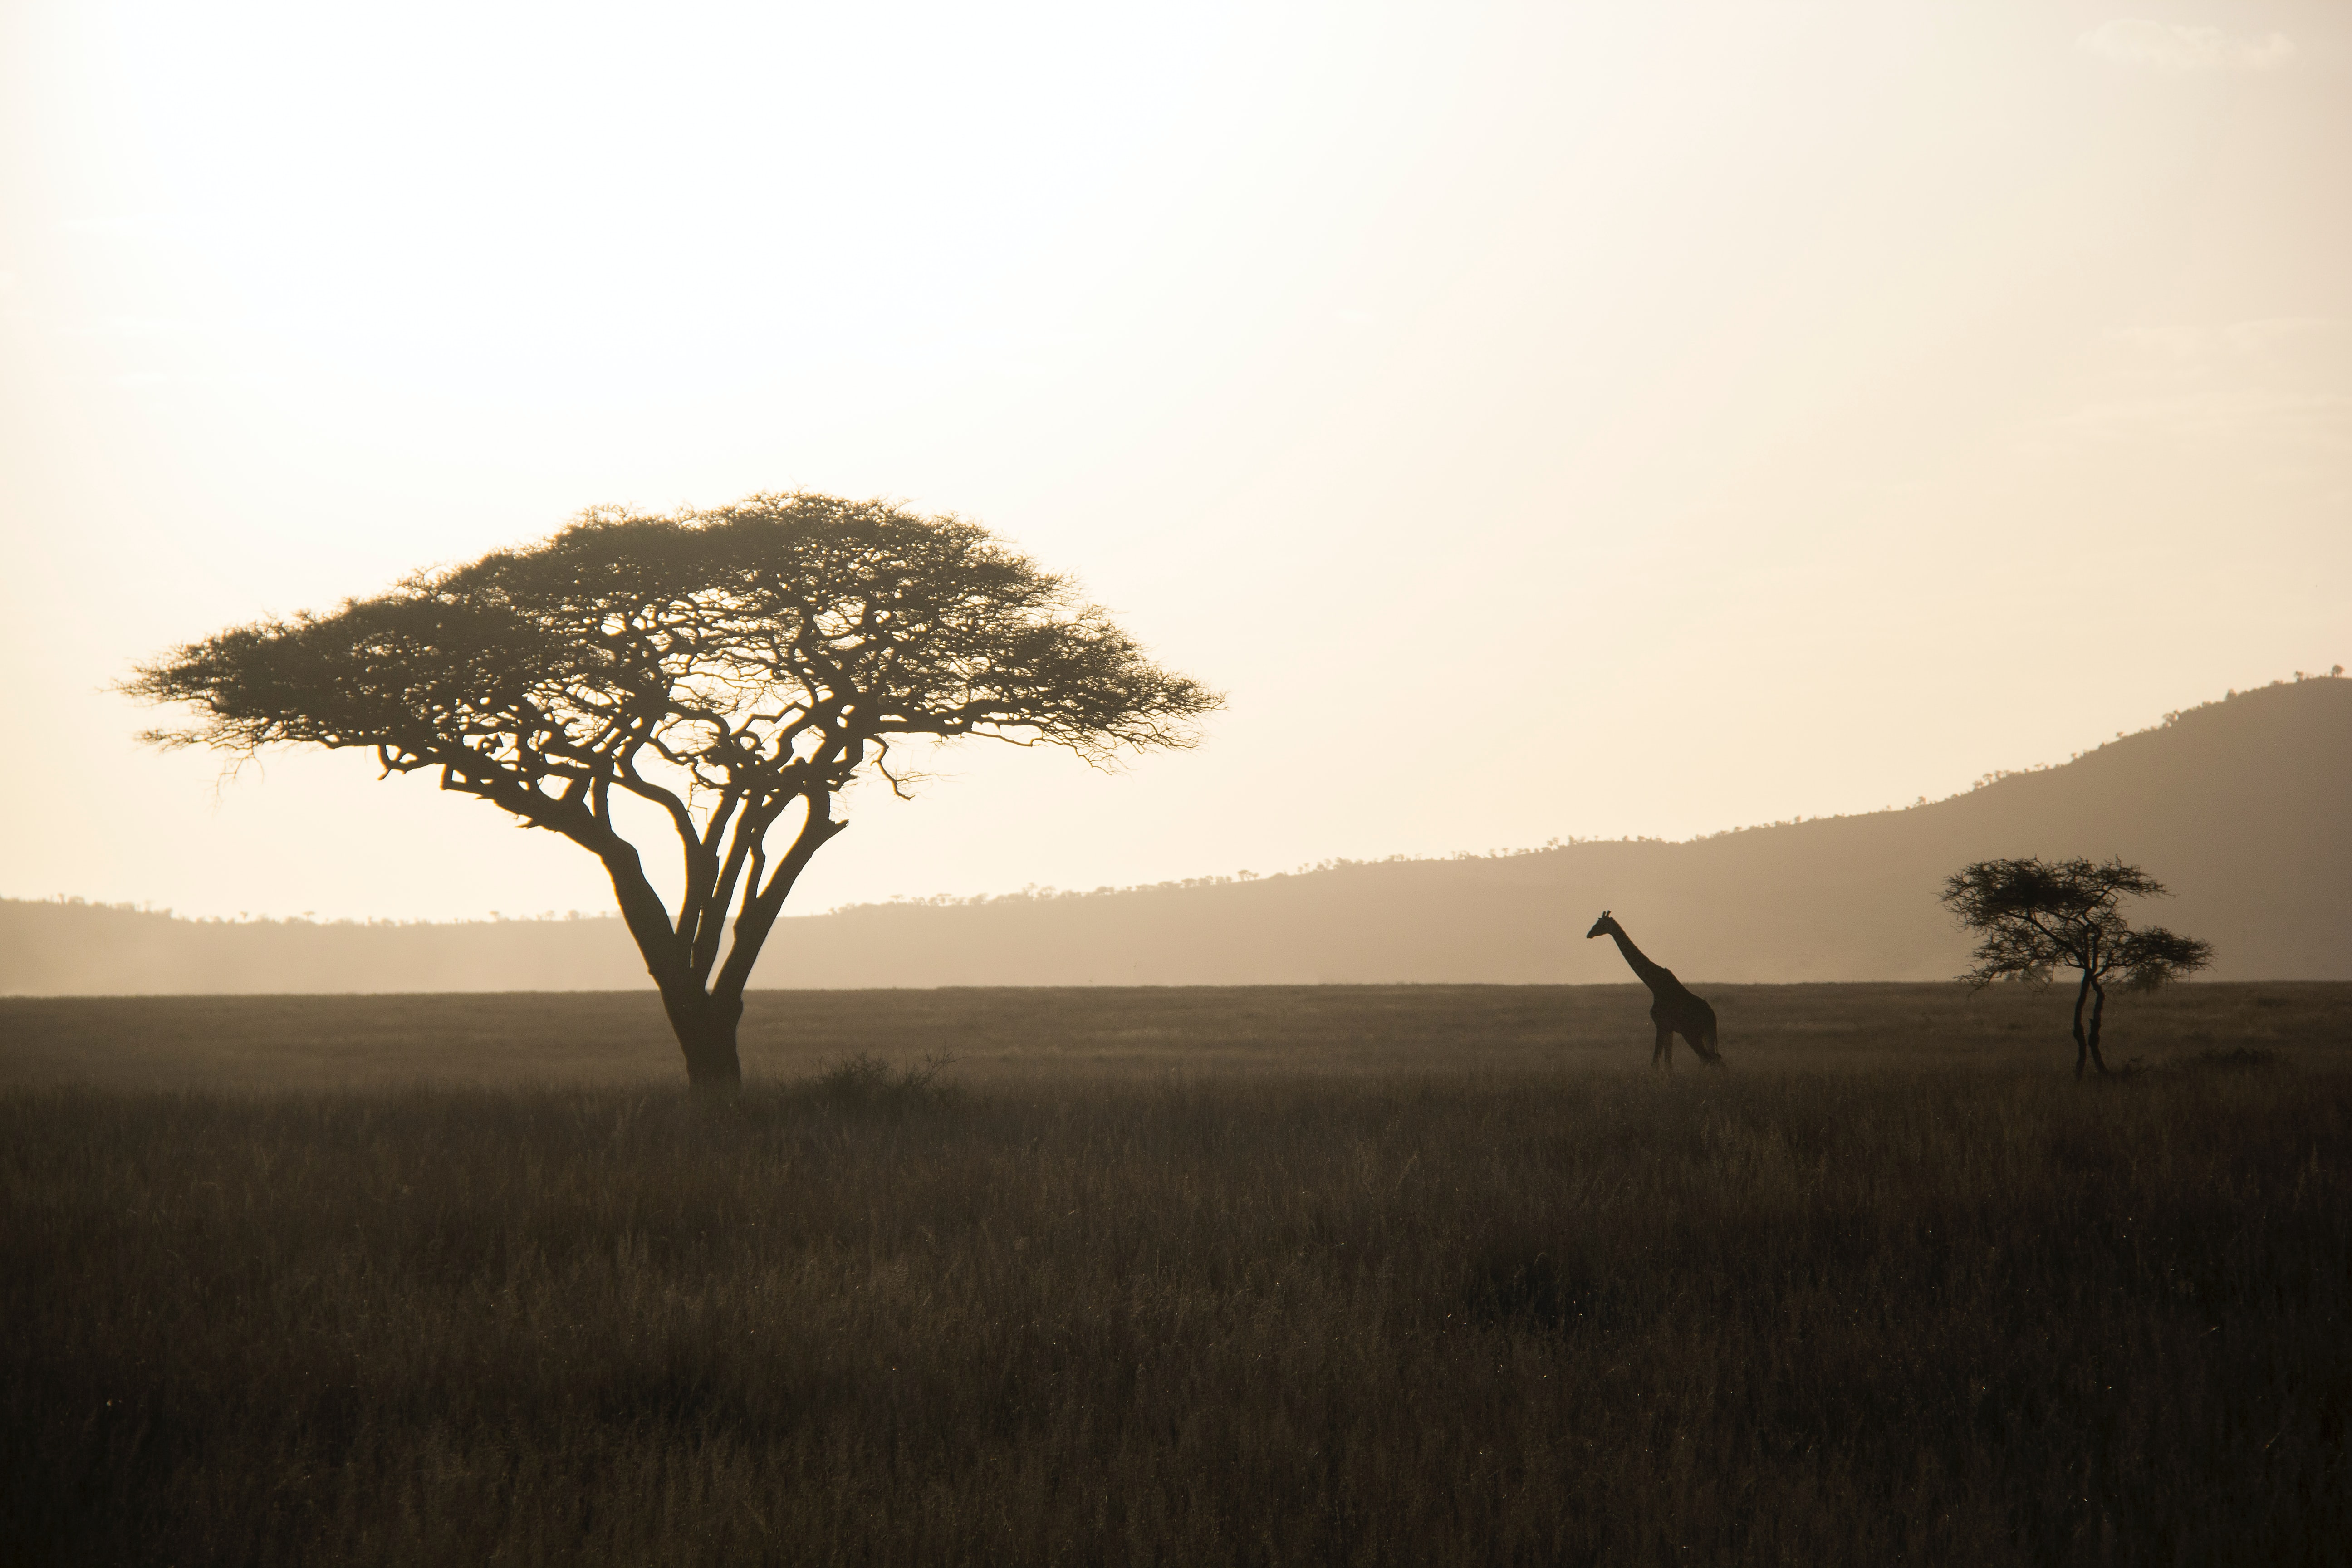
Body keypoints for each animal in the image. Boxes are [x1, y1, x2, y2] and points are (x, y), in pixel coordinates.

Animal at [1590, 907, 1721, 1067]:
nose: (1589, 934)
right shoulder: (1669, 1028)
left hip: (1692, 1034)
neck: (1654, 985)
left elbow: (1656, 1063)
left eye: (1600, 924)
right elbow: (1668, 1064)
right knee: (1716, 1059)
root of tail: (1712, 1016)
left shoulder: (1661, 1024)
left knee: (1709, 1060)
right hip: (1706, 1035)